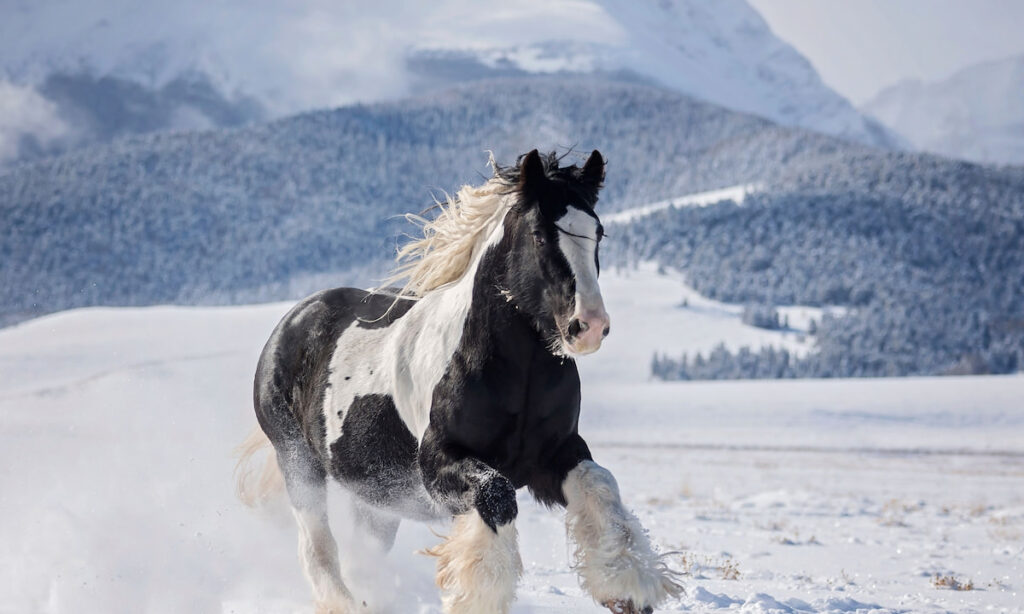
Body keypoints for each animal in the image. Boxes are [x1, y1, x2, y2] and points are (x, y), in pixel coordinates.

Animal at [236, 149, 684, 614]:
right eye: (540, 235)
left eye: (598, 233)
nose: (589, 326)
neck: (515, 375)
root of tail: (293, 321)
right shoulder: (439, 464)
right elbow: (496, 497)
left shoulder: (556, 454)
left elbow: (601, 485)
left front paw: (628, 586)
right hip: (298, 462)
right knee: (318, 546)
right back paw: (343, 602)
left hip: (377, 498)